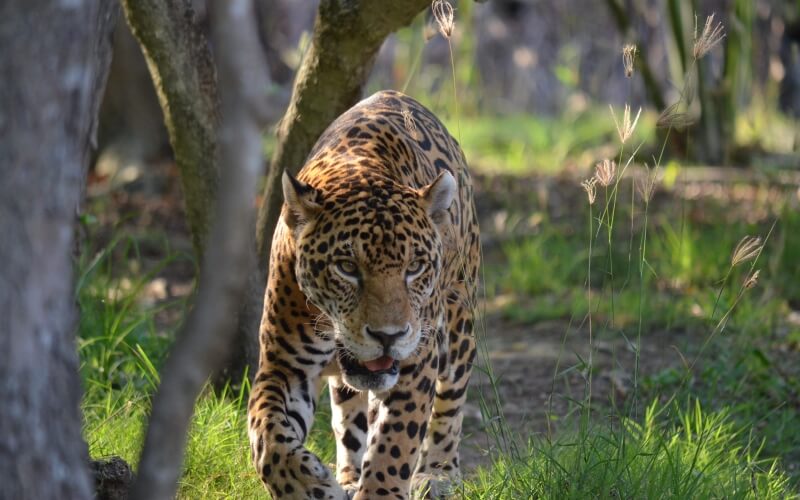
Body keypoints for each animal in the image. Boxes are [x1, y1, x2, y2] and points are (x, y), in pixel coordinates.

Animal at [248, 90, 479, 499]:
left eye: (415, 267)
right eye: (346, 267)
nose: (389, 336)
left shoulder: (417, 361)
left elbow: (395, 442)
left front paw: (382, 491)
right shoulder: (284, 366)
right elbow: (268, 435)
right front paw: (307, 485)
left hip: (458, 323)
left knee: (450, 403)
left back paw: (437, 473)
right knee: (349, 416)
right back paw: (348, 477)